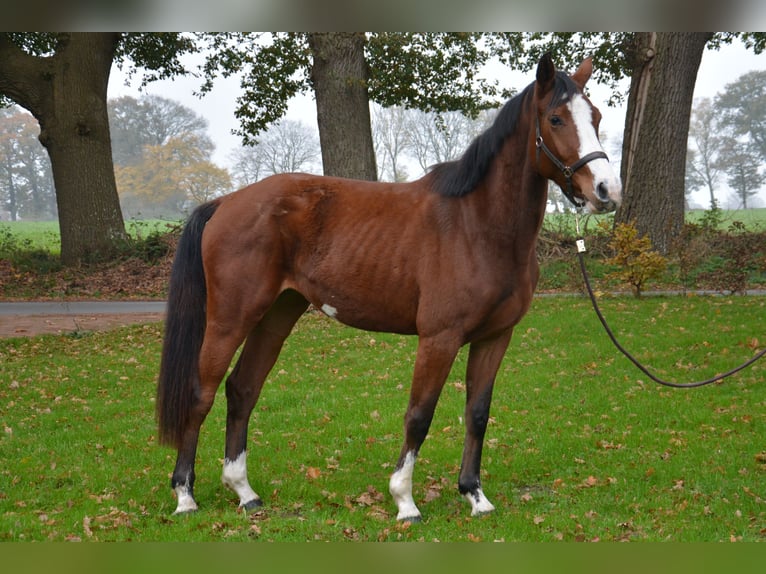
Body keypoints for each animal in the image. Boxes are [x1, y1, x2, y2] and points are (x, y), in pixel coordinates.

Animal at [156, 55, 624, 520]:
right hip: (230, 319)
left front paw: (475, 495)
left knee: (242, 390)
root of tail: (224, 202)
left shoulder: (495, 337)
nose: (606, 190)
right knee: (201, 394)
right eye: (556, 118)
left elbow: (477, 413)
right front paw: (404, 500)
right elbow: (419, 414)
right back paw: (184, 495)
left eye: (597, 117)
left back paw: (244, 491)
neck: (478, 225)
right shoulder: (439, 338)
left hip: (276, 315)